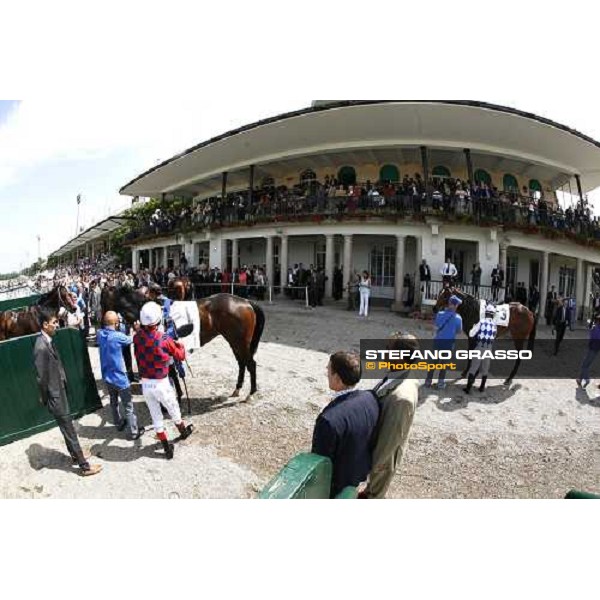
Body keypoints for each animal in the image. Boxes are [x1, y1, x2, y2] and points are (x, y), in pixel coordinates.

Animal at [101, 288, 264, 398]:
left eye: (103, 301)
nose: (101, 321)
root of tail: (246, 302)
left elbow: (171, 373)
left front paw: (177, 395)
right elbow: (172, 372)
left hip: (240, 343)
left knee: (251, 364)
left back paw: (251, 393)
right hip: (235, 342)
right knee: (242, 363)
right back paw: (237, 388)